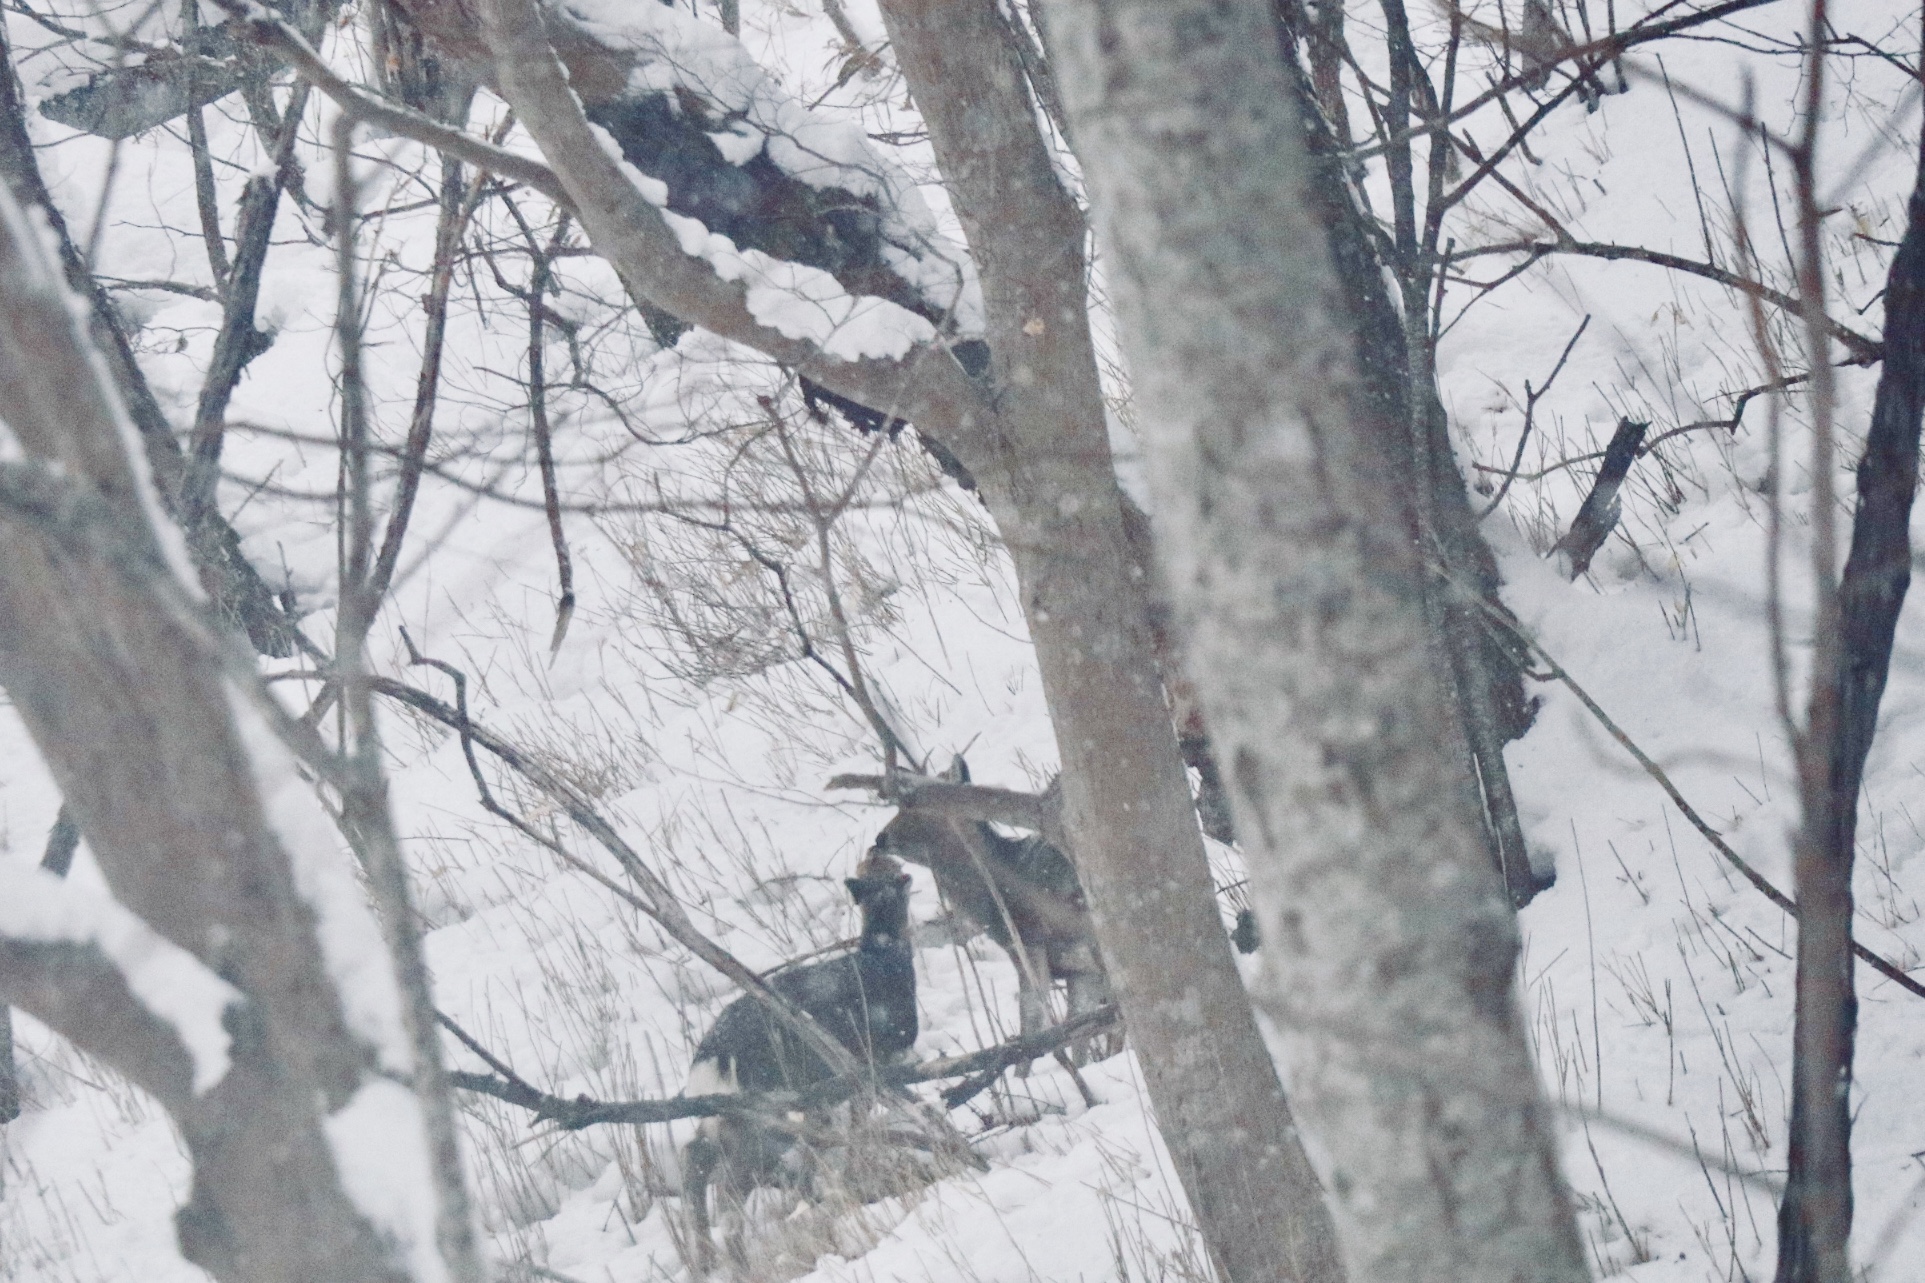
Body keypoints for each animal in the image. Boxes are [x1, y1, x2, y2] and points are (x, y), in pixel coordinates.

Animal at [677, 847, 916, 1271]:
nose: (876, 845)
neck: (886, 959)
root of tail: (712, 1055)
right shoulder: (876, 1066)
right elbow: (858, 1127)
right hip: (760, 1117)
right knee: (728, 1192)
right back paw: (740, 1264)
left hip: (723, 1117)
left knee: (694, 1157)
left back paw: (704, 1262)